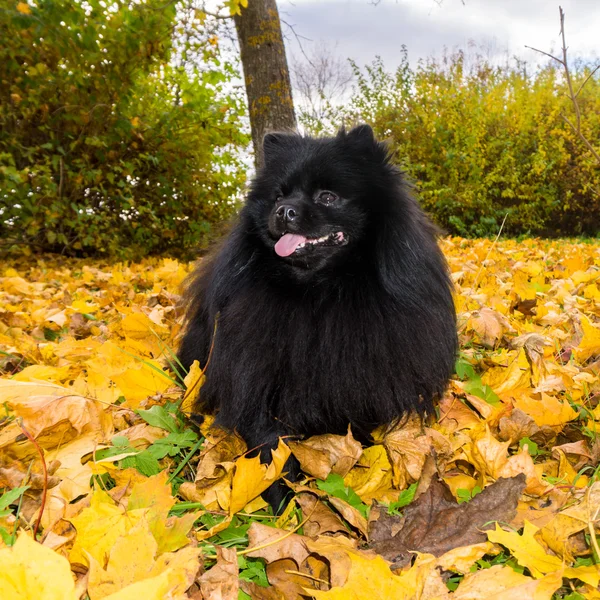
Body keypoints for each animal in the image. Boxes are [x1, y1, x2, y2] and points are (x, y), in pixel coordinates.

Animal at [178, 124, 454, 508]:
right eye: (279, 196)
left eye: (327, 197)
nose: (283, 211)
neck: (318, 292)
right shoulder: (257, 377)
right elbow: (270, 445)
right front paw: (282, 496)